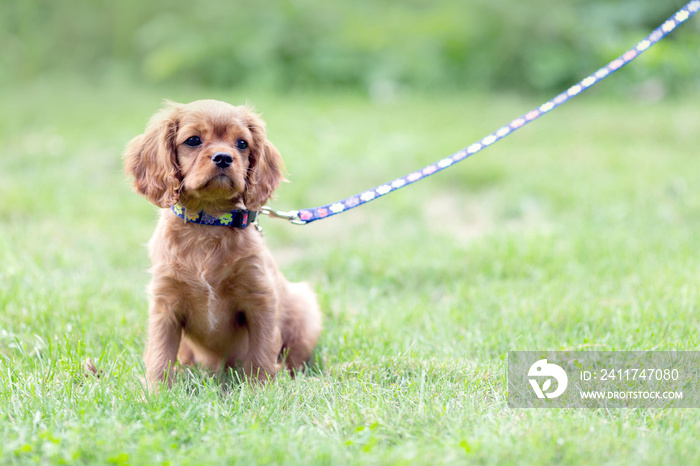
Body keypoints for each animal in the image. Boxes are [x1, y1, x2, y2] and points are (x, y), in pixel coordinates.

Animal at [124, 99, 322, 386]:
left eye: (241, 143)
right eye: (193, 140)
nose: (223, 157)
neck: (209, 223)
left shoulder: (260, 298)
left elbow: (261, 351)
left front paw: (260, 389)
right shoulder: (165, 304)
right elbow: (160, 355)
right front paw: (156, 392)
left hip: (304, 308)